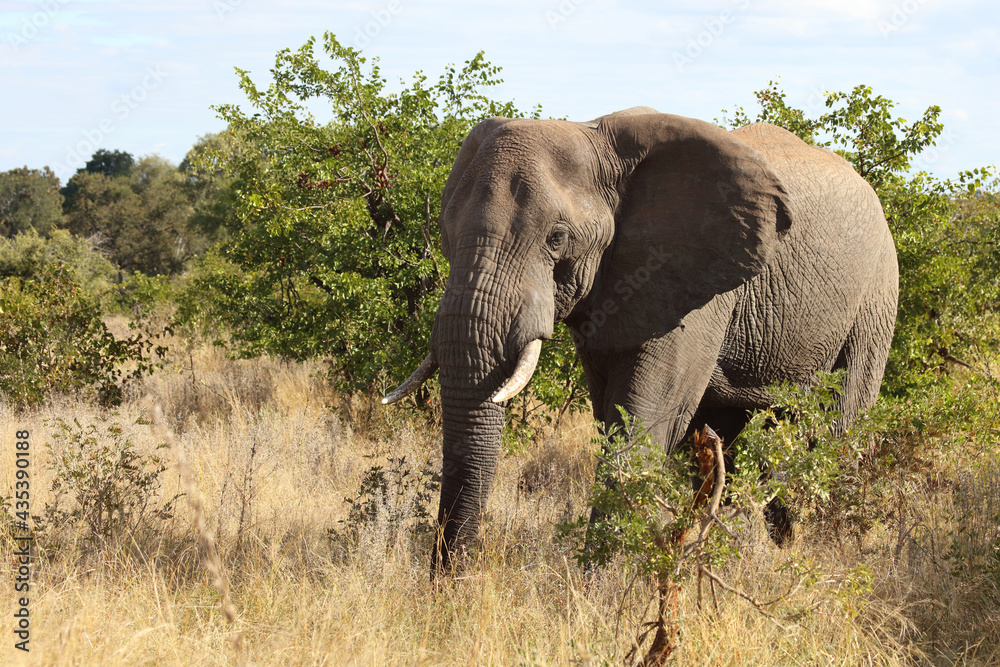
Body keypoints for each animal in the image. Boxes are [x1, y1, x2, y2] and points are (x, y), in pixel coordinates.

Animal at [380, 107, 900, 572]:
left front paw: (601, 588)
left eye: (556, 238)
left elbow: (646, 415)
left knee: (838, 425)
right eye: (445, 234)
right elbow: (614, 412)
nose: (450, 586)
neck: (592, 134)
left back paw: (812, 548)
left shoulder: (694, 283)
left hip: (876, 296)